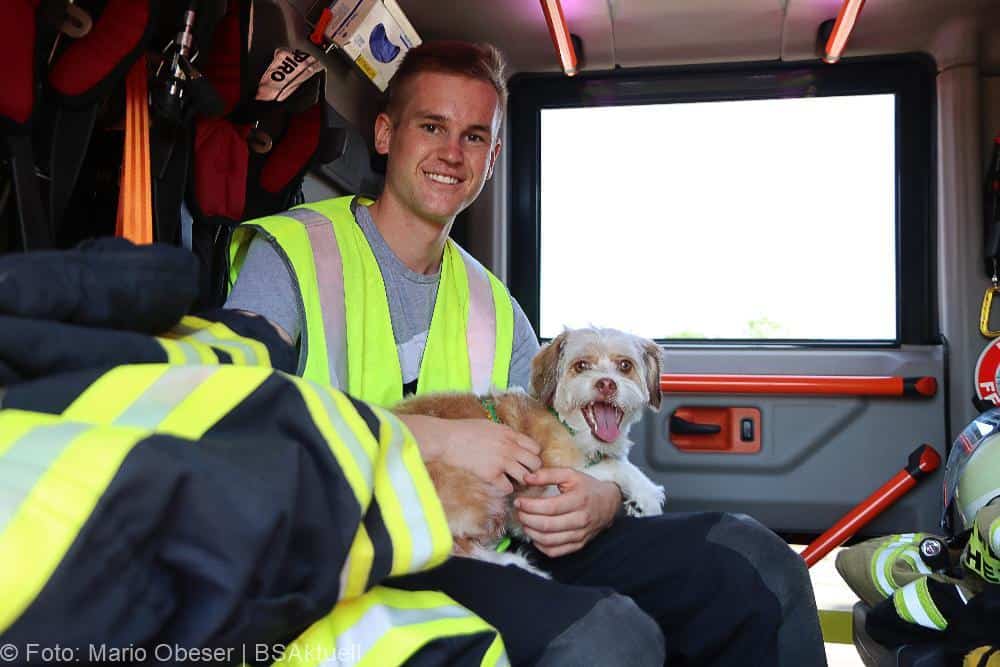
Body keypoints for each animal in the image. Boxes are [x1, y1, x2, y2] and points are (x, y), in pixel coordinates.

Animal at [390, 326, 664, 572]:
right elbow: (613, 465)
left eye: (625, 365)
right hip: (481, 492)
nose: (606, 384)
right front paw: (647, 494)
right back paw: (514, 563)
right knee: (455, 548)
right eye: (581, 365)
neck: (569, 426)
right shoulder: (540, 489)